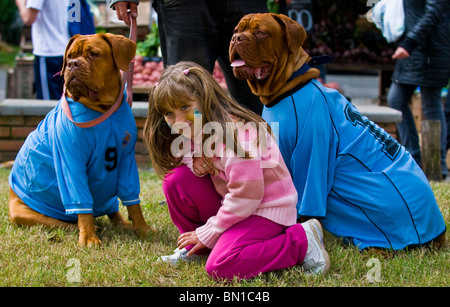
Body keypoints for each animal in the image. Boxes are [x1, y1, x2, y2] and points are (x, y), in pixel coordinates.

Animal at [8, 33, 151, 247]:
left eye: (94, 54)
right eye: (69, 56)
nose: (72, 65)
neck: (102, 108)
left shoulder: (126, 161)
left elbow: (133, 201)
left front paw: (142, 228)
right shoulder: (70, 161)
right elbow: (82, 205)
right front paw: (89, 237)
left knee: (112, 210)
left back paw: (123, 224)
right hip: (22, 213)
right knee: (61, 222)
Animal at [230, 13, 444, 251]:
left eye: (261, 33)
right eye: (237, 30)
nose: (236, 38)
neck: (287, 88)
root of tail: (437, 232)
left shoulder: (311, 154)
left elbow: (302, 201)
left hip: (366, 190)